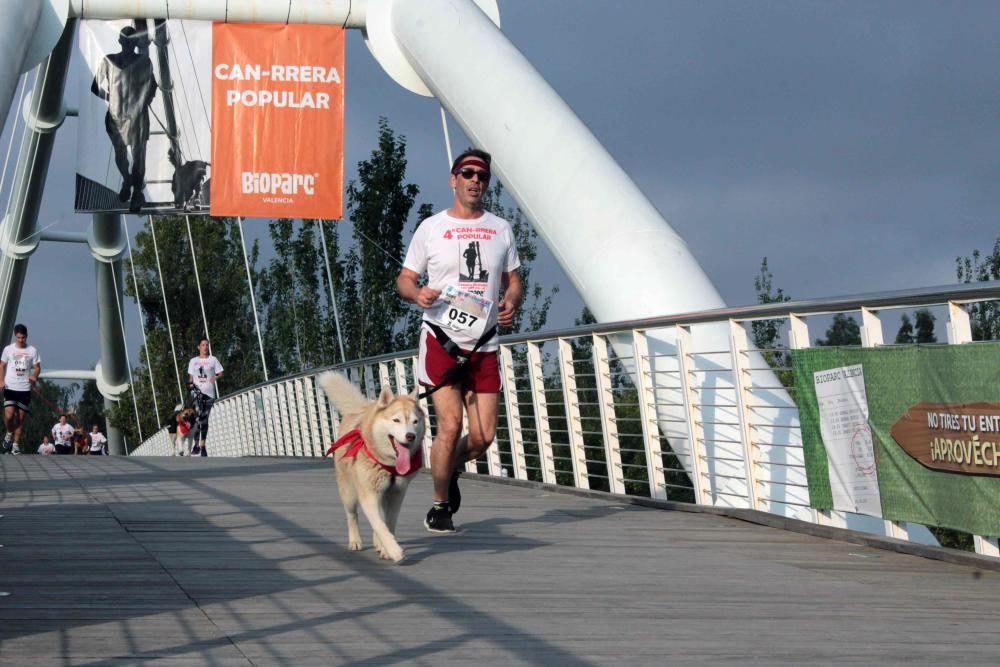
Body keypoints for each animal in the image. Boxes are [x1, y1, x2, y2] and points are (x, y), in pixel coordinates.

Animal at [320, 370, 426, 564]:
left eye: (415, 421)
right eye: (396, 420)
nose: (410, 436)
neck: (389, 464)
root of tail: (360, 409)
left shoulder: (396, 494)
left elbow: (388, 523)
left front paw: (386, 548)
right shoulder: (368, 495)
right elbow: (379, 524)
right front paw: (394, 550)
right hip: (349, 493)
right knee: (352, 515)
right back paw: (355, 541)